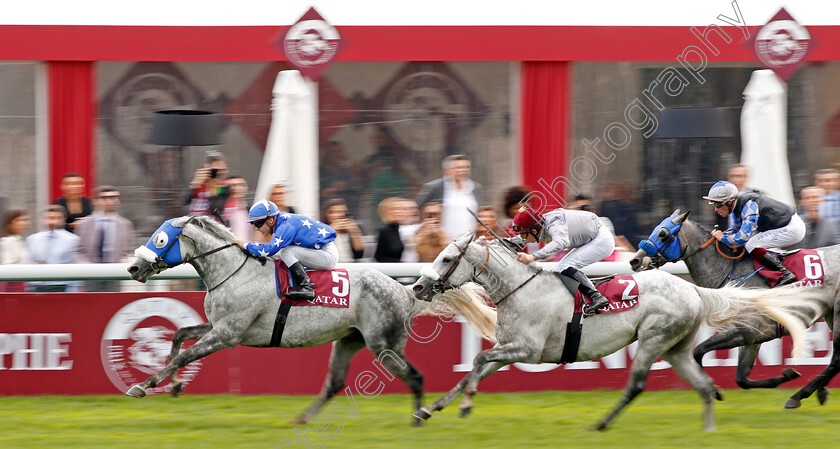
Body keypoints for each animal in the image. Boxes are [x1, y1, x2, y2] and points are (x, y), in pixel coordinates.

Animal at [414, 233, 820, 428]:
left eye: (447, 258)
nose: (418, 286)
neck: (522, 288)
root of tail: (691, 289)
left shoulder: (527, 350)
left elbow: (479, 359)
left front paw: (461, 405)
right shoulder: (511, 347)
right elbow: (476, 368)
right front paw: (432, 409)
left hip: (653, 339)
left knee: (638, 384)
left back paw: (603, 424)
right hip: (675, 347)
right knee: (702, 383)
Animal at [632, 210, 840, 410]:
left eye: (663, 234)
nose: (635, 260)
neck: (728, 273)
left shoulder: (742, 330)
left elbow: (698, 351)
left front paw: (715, 390)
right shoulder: (752, 338)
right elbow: (741, 379)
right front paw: (786, 376)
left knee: (836, 359)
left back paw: (798, 396)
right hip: (830, 313)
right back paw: (818, 391)